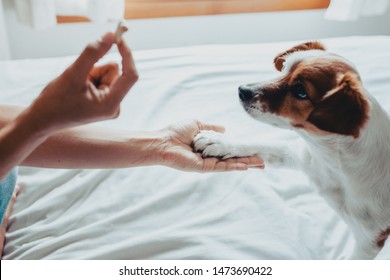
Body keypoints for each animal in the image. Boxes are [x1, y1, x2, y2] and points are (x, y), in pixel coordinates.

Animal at [194, 42, 390, 260]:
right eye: (284, 68)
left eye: (300, 91)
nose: (242, 90)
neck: (330, 158)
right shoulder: (300, 155)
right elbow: (262, 144)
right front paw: (221, 142)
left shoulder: (369, 240)